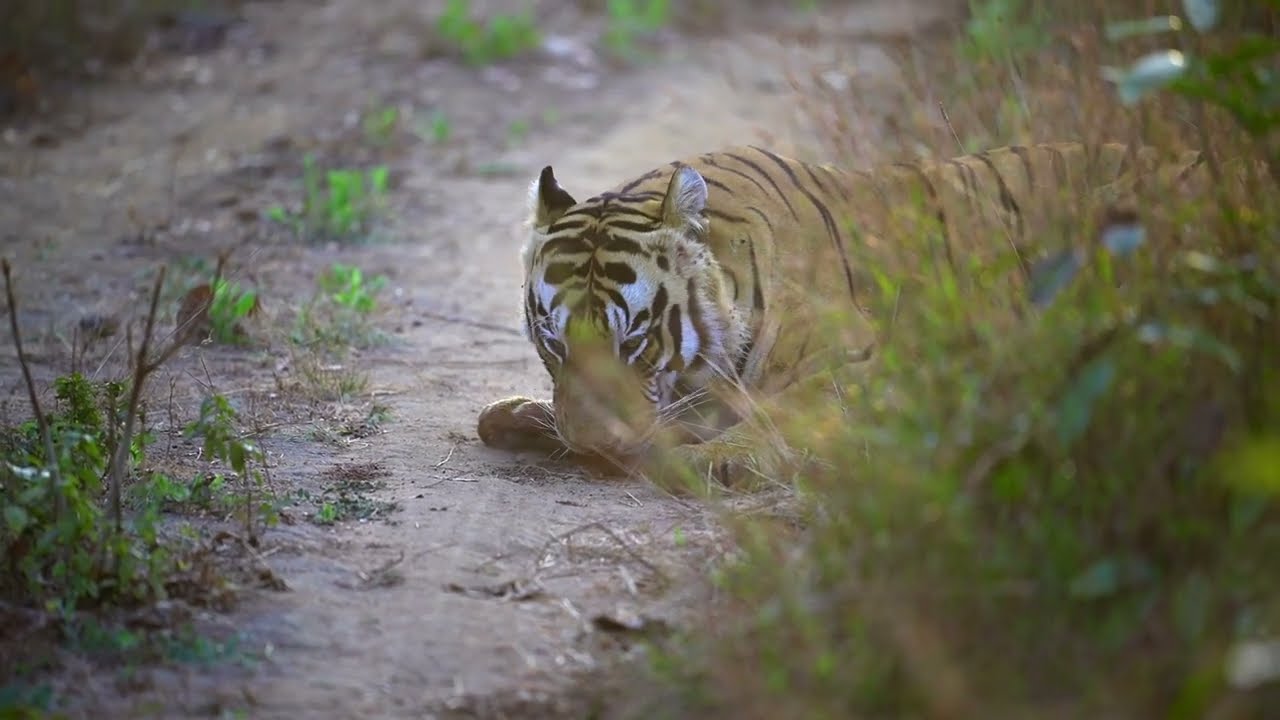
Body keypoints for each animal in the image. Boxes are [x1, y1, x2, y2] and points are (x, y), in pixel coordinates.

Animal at [476, 141, 1205, 490]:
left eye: (634, 341)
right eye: (553, 342)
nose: (592, 448)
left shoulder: (862, 362)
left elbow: (784, 410)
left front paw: (709, 459)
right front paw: (520, 414)